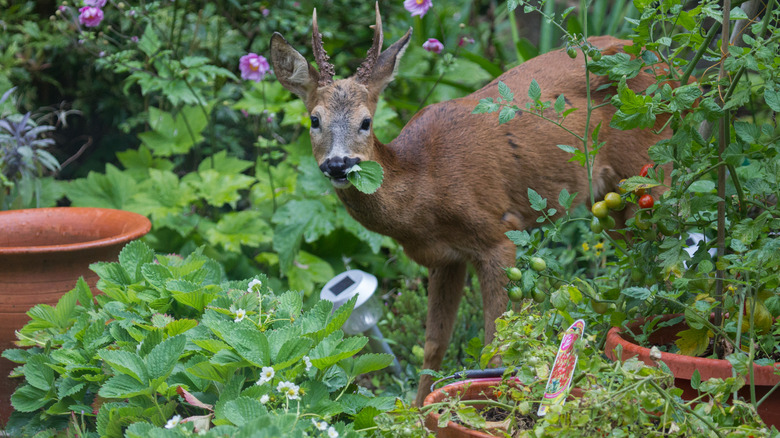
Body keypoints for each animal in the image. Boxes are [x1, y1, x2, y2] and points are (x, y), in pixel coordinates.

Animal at [270, 4, 672, 408]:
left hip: (650, 166)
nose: (339, 164)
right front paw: (418, 411)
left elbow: (497, 344)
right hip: (610, 200)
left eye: (366, 121)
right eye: (314, 119)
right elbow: (433, 344)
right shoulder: (444, 258)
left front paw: (493, 401)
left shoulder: (499, 235)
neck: (425, 185)